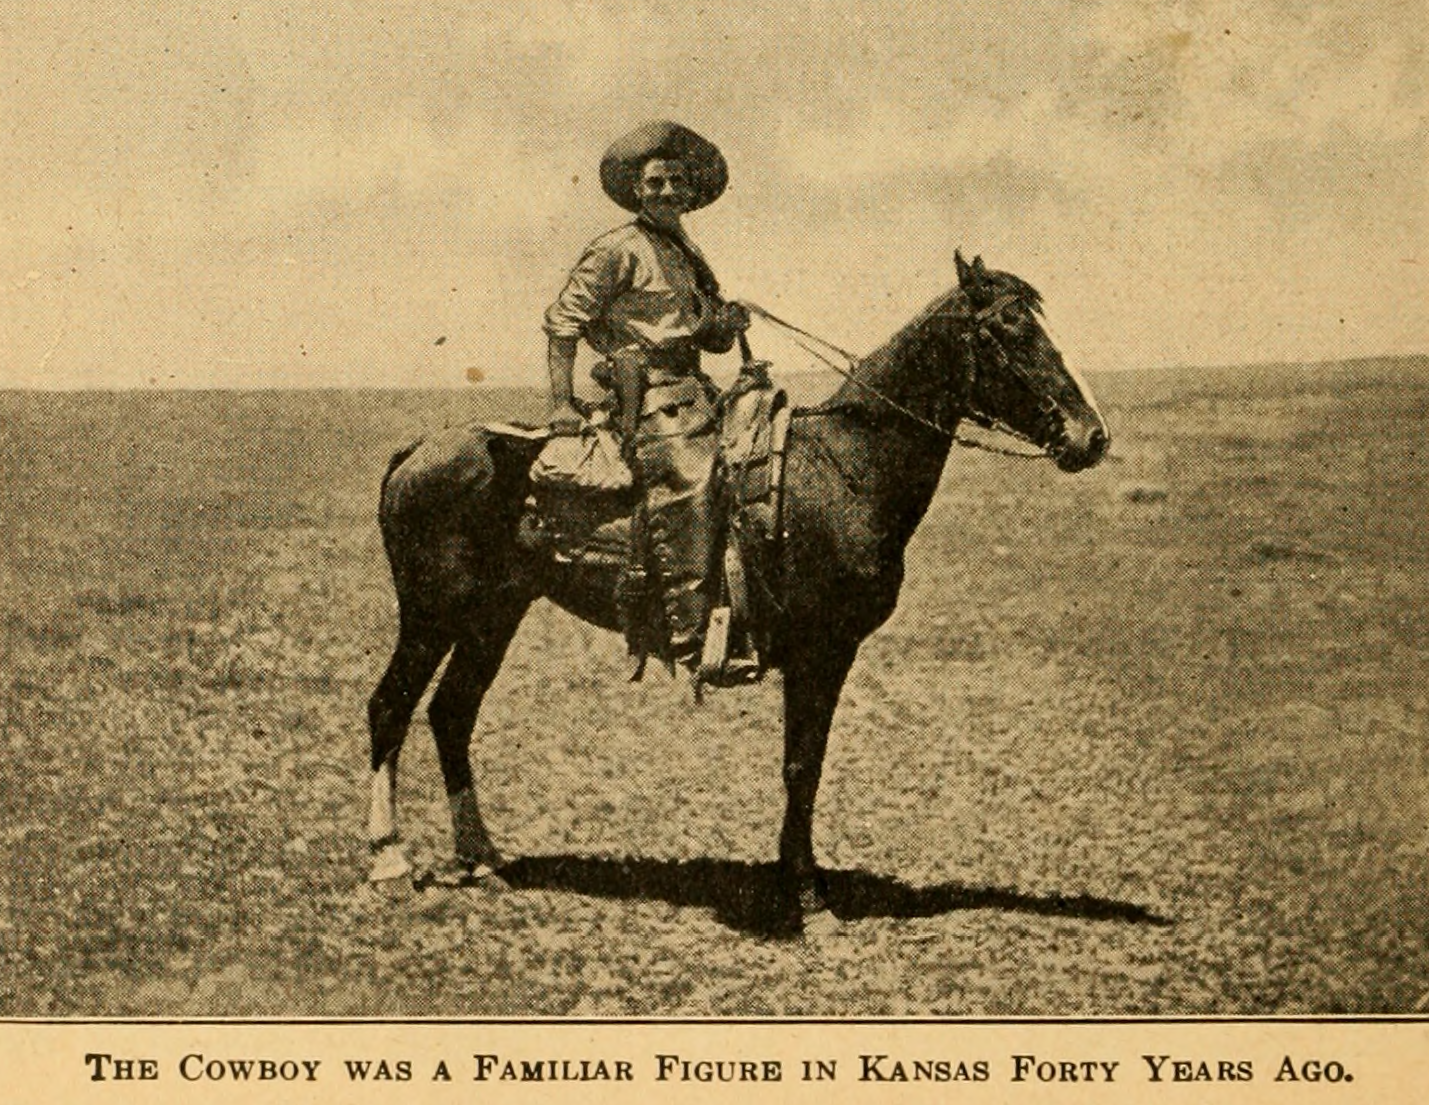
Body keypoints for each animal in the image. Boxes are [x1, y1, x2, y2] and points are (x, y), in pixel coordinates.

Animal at [364, 251, 1110, 931]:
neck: (844, 468)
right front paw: (807, 897)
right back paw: (389, 861)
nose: (1092, 436)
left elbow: (805, 764)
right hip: (432, 612)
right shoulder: (820, 650)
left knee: (451, 713)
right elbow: (801, 765)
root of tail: (418, 449)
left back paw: (483, 860)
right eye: (1011, 327)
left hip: (494, 612)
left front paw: (795, 880)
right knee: (390, 706)